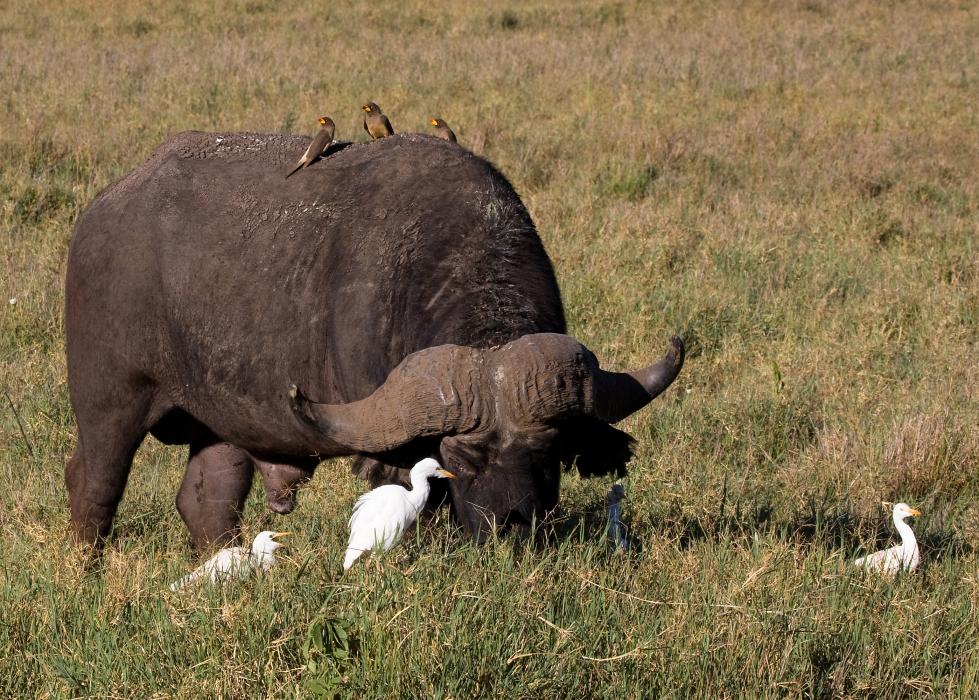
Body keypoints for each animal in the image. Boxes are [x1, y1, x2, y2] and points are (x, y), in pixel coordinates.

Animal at [65, 130, 684, 548]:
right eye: (464, 455)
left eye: (548, 451)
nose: (512, 525)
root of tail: (100, 213)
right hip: (110, 401)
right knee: (92, 484)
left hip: (221, 424)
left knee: (207, 502)